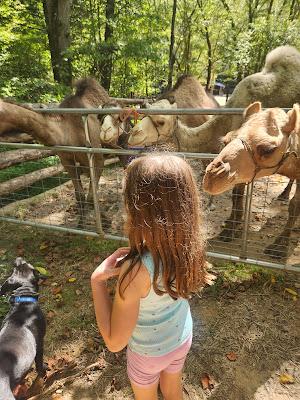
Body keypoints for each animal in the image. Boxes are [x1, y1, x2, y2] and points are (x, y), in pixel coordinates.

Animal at [0, 77, 110, 225]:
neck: (68, 133)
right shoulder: (67, 160)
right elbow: (80, 195)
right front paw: (80, 224)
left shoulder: (97, 159)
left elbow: (92, 196)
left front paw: (106, 222)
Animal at [0, 258, 46, 398]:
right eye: (30, 266)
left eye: (15, 268)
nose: (18, 258)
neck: (23, 303)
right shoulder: (40, 344)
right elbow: (39, 364)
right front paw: (43, 372)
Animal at [203, 101, 298, 260]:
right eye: (225, 141)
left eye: (268, 149)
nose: (212, 176)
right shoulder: (243, 173)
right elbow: (237, 195)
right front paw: (230, 230)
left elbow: (295, 206)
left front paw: (279, 249)